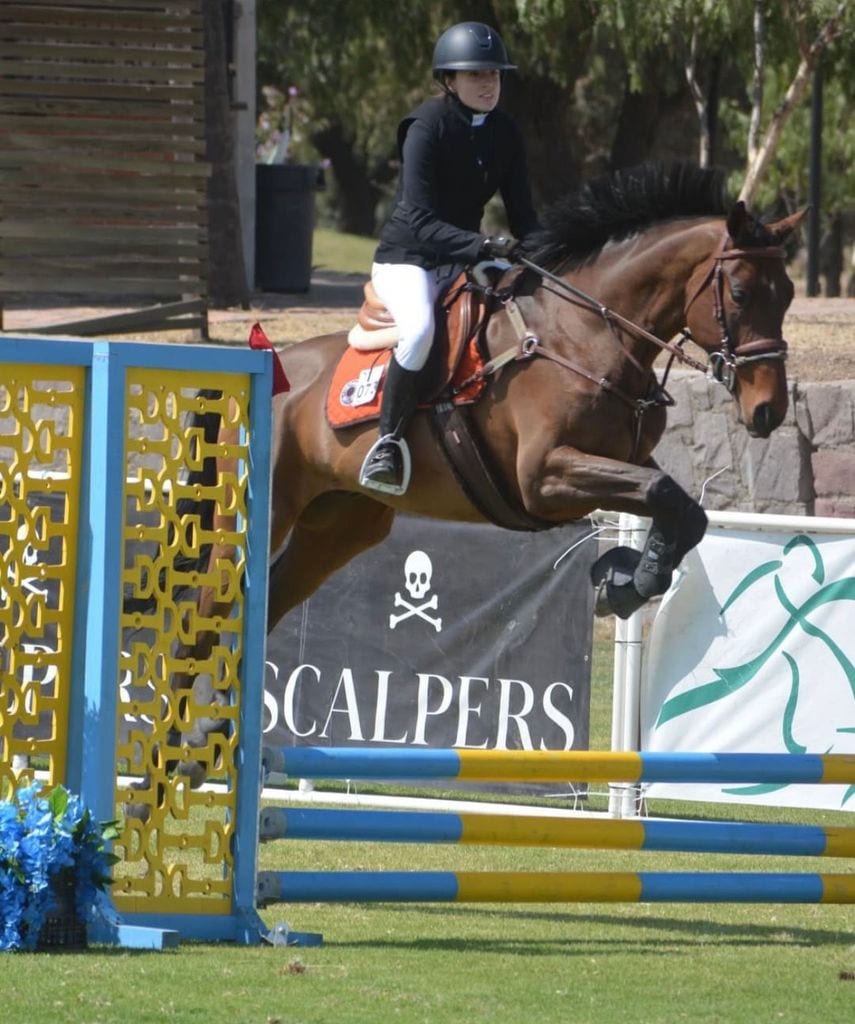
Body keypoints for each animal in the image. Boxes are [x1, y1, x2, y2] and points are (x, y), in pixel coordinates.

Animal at [125, 161, 802, 798]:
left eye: (789, 293)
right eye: (741, 292)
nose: (768, 412)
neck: (587, 336)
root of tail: (259, 367)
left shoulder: (621, 463)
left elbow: (685, 508)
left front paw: (625, 579)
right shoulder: (544, 479)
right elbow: (665, 497)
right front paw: (626, 580)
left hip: (338, 527)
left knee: (265, 601)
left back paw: (207, 736)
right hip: (252, 517)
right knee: (203, 616)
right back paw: (161, 766)